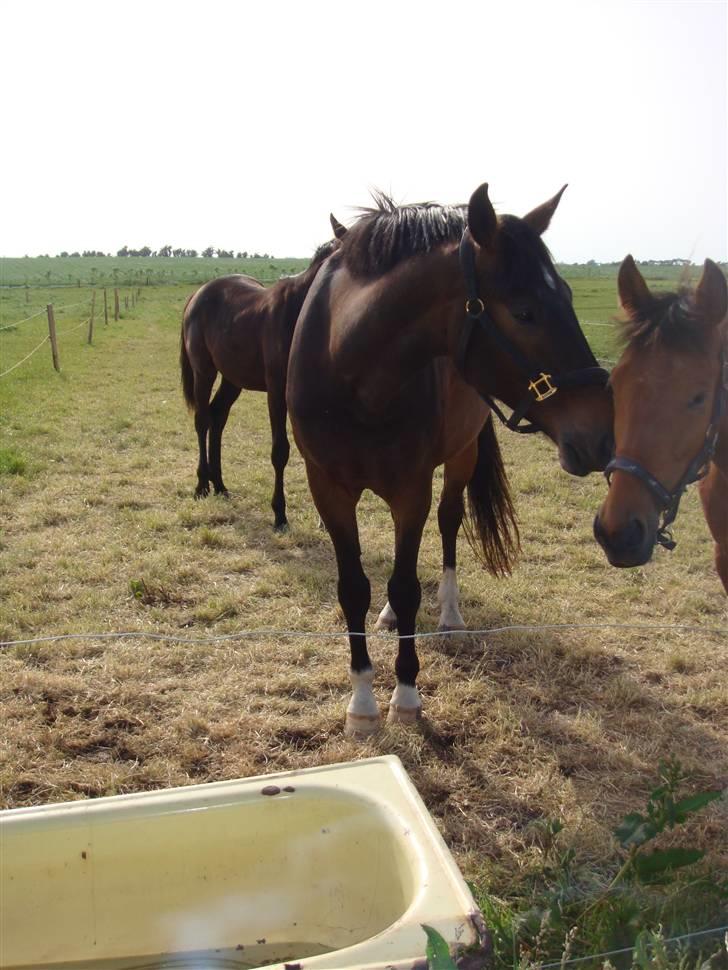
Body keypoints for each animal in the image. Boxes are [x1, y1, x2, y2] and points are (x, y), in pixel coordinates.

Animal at [178, 215, 346, 524]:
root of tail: (198, 293)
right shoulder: (277, 392)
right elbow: (280, 450)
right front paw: (279, 513)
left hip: (233, 378)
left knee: (217, 417)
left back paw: (220, 485)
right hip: (204, 370)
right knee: (202, 419)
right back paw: (202, 485)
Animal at [288, 183, 616, 732]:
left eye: (569, 298)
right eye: (524, 311)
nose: (602, 436)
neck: (349, 372)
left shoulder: (411, 489)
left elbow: (406, 584)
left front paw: (404, 695)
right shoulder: (328, 488)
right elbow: (354, 588)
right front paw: (362, 703)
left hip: (460, 457)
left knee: (446, 524)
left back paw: (449, 614)